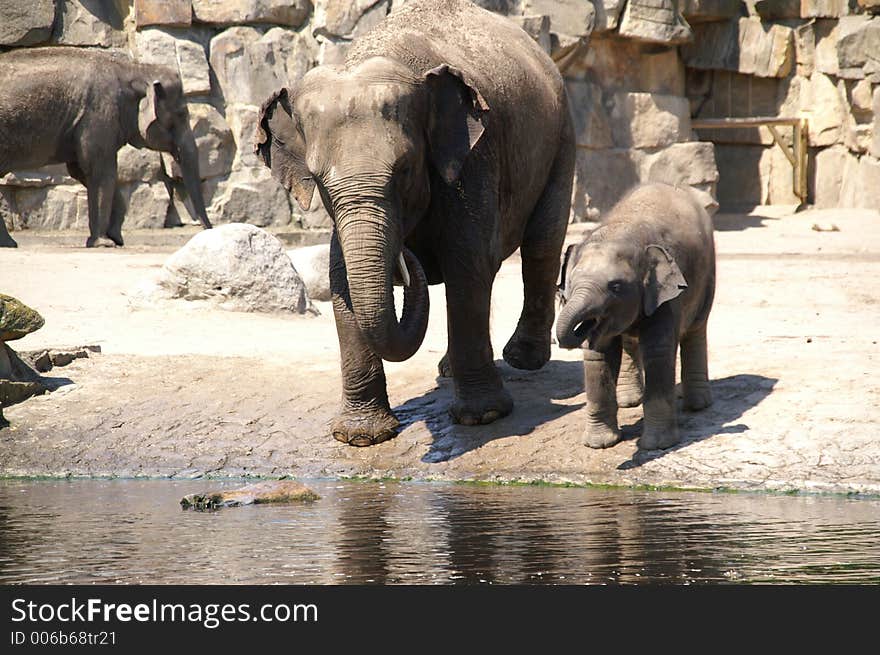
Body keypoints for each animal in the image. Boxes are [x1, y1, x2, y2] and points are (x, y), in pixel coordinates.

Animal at [0, 45, 212, 246]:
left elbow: (82, 171)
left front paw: (116, 239)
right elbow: (101, 172)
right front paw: (104, 243)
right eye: (182, 115)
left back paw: (9, 244)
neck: (135, 69)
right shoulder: (99, 114)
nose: (207, 228)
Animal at [254, 0, 576, 446]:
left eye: (405, 169)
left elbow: (466, 261)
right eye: (319, 181)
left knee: (540, 244)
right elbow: (341, 280)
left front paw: (483, 417)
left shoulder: (474, 156)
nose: (406, 256)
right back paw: (449, 370)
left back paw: (522, 360)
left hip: (562, 136)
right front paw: (360, 437)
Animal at [556, 183, 716, 452]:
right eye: (571, 283)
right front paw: (599, 445)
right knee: (630, 340)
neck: (626, 230)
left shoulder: (665, 294)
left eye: (615, 286)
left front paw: (656, 446)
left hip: (708, 274)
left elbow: (658, 351)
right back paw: (630, 401)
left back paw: (697, 405)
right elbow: (597, 356)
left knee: (697, 328)